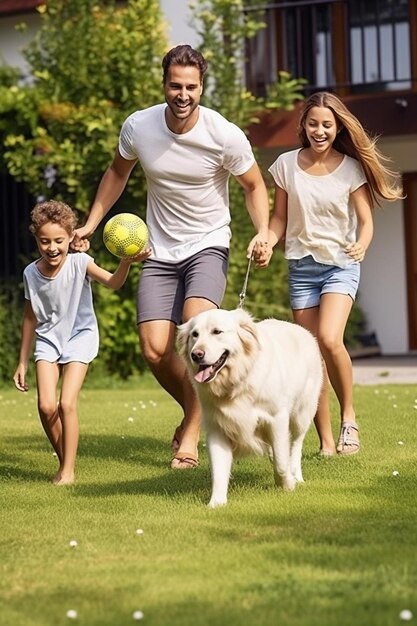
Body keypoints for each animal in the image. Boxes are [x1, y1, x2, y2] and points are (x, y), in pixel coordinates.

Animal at [176, 308, 322, 508]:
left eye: (217, 332)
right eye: (194, 335)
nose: (196, 354)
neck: (237, 380)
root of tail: (302, 330)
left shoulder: (276, 418)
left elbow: (281, 462)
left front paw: (287, 484)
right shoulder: (217, 427)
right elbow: (219, 470)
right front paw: (216, 503)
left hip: (302, 414)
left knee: (295, 446)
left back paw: (296, 475)